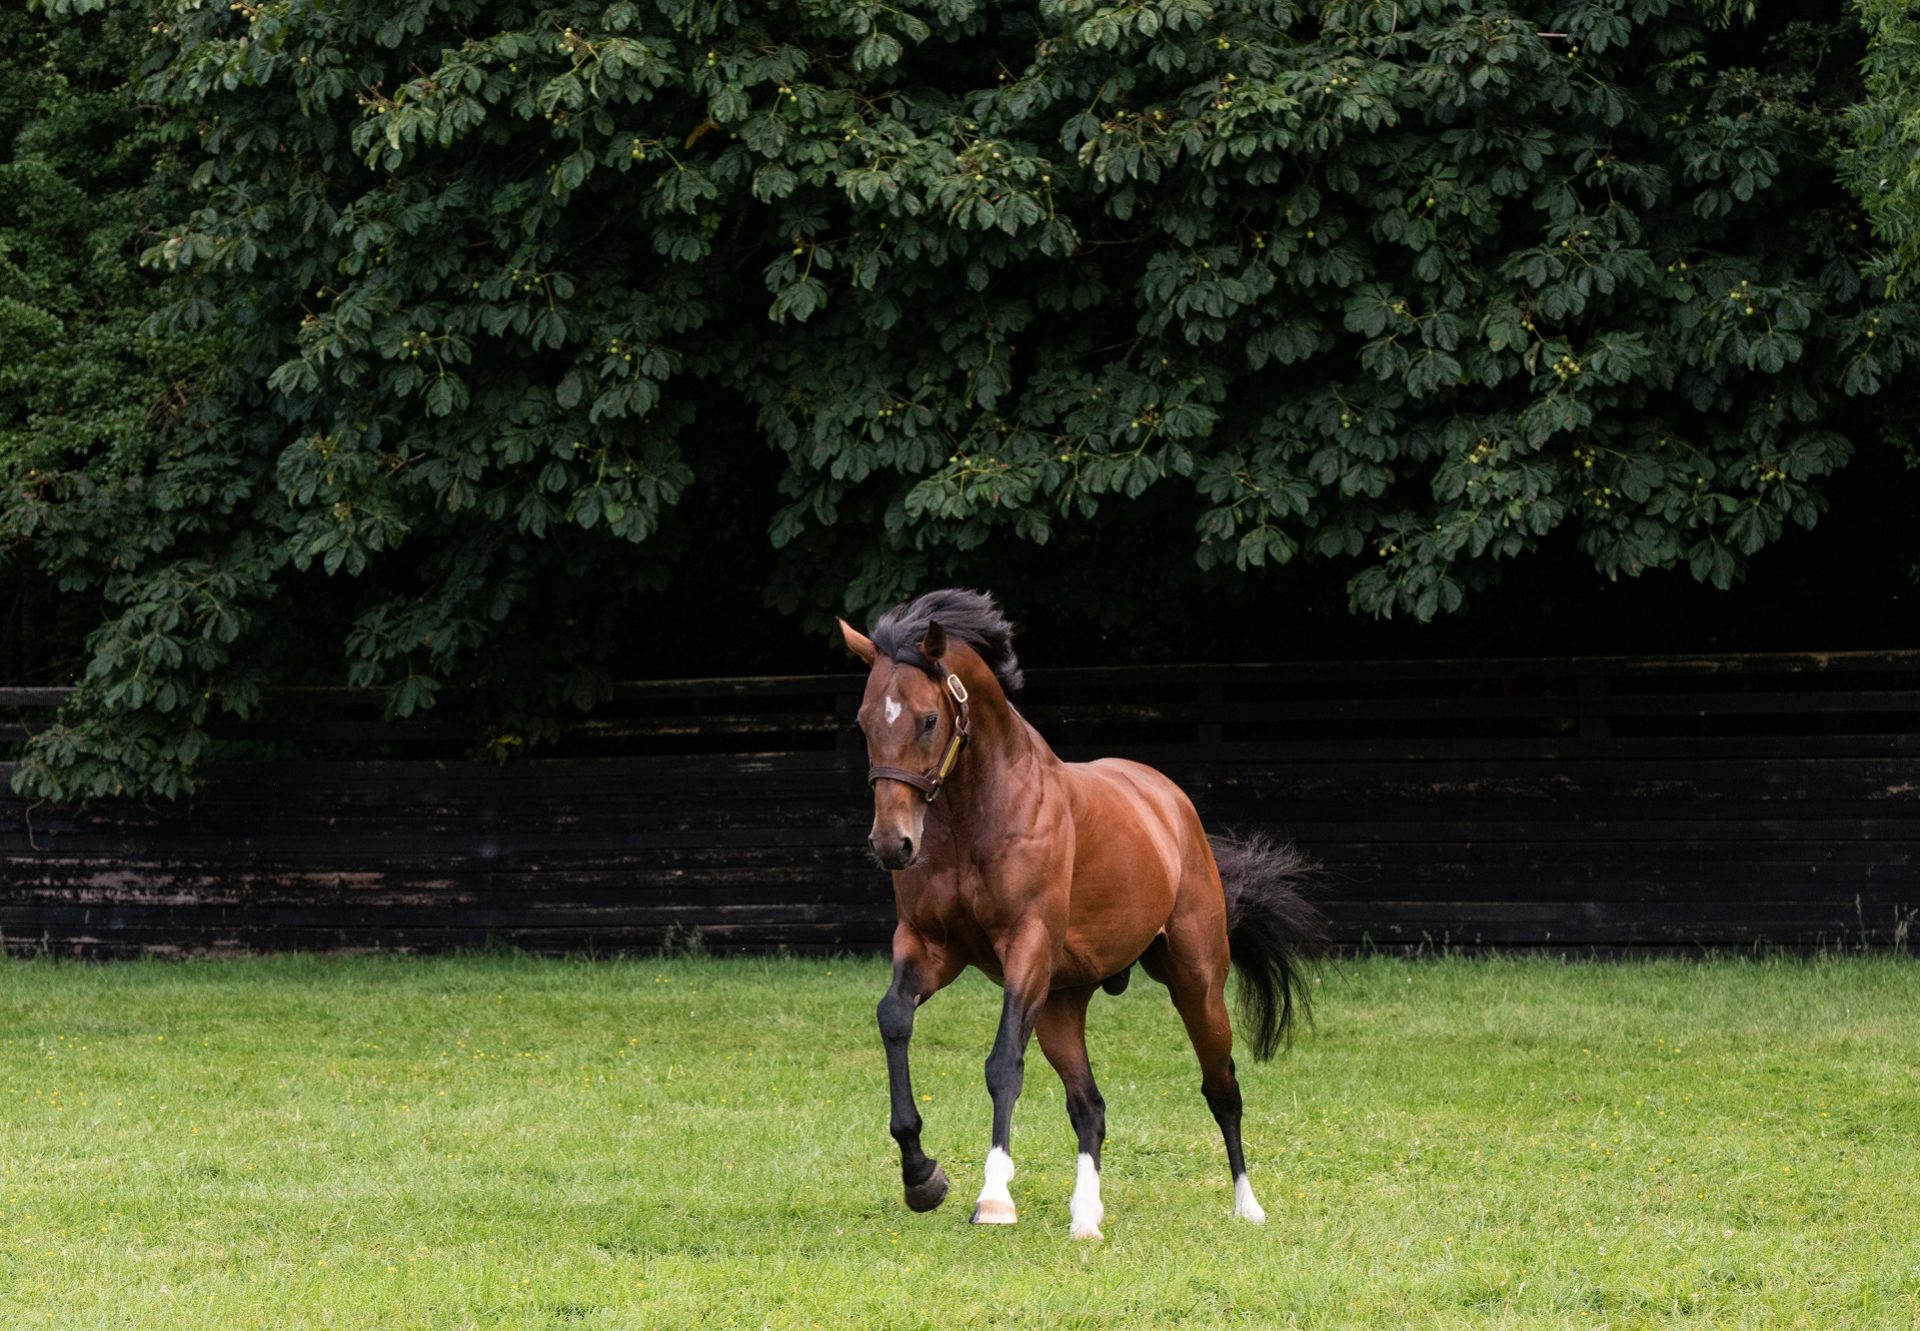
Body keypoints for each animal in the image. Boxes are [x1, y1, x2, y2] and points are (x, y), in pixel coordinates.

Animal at [840, 587, 1320, 1236]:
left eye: (928, 719)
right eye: (865, 722)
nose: (893, 845)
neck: (976, 815)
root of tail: (1171, 804)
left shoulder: (1026, 944)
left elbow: (1002, 1064)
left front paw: (994, 1197)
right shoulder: (929, 947)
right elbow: (894, 1018)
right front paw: (922, 1177)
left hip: (1195, 984)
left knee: (1222, 1089)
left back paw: (1248, 1206)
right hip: (1060, 1004)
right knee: (1089, 1105)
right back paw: (1086, 1217)